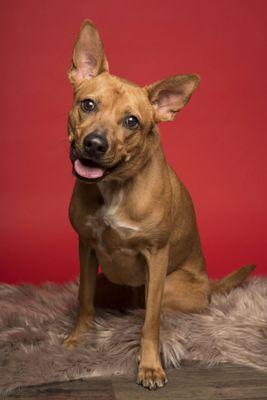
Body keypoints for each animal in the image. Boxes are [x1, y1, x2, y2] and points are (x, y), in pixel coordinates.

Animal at [63, 20, 255, 390]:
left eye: (132, 121)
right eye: (88, 104)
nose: (94, 144)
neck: (116, 186)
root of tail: (211, 286)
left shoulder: (156, 256)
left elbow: (150, 324)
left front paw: (150, 366)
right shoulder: (86, 248)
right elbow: (84, 301)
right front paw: (78, 339)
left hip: (171, 287)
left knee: (155, 311)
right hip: (109, 282)